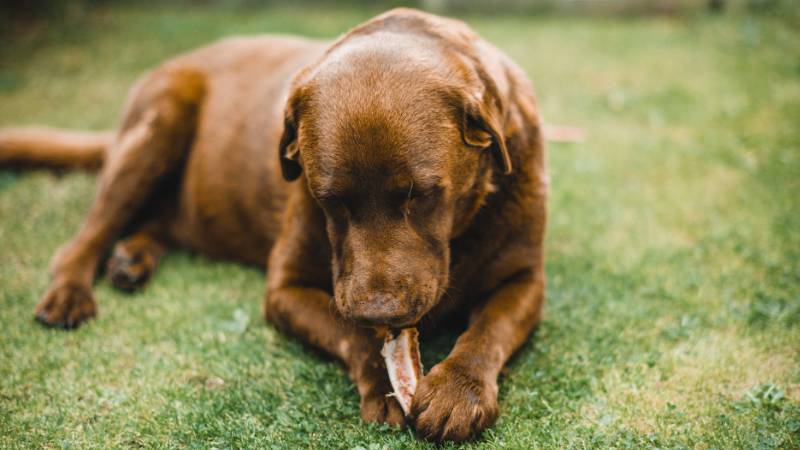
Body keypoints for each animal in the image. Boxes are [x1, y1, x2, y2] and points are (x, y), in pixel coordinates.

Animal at [0, 8, 544, 442]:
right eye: (329, 200)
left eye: (423, 195)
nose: (377, 312)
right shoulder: (285, 288)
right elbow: (348, 334)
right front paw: (384, 385)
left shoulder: (526, 280)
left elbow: (489, 330)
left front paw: (458, 391)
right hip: (158, 124)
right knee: (84, 238)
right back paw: (71, 293)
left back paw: (131, 259)